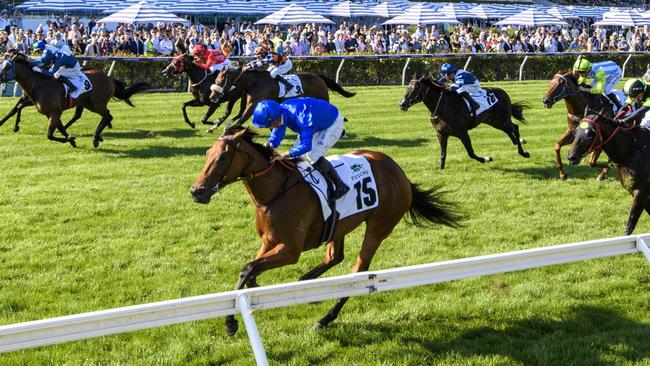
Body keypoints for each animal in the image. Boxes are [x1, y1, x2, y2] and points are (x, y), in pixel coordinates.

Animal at [0, 50, 148, 147]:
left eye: (6, 67)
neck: (39, 84)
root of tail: (110, 78)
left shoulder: (54, 112)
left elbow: (50, 135)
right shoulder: (51, 112)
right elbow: (59, 129)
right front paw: (71, 140)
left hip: (96, 104)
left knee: (106, 115)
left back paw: (96, 137)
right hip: (88, 103)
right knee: (104, 115)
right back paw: (99, 135)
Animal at [189, 125, 460, 334]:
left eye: (223, 158)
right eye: (207, 153)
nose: (197, 191)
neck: (276, 191)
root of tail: (401, 174)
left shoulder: (290, 250)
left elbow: (247, 269)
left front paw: (230, 323)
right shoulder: (268, 242)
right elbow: (249, 271)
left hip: (379, 226)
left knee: (359, 271)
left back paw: (325, 317)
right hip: (339, 225)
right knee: (334, 256)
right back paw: (309, 286)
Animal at [206, 68, 354, 129]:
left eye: (221, 81)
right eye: (216, 79)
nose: (211, 96)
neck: (253, 82)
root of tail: (318, 76)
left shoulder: (253, 104)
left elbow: (241, 119)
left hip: (322, 98)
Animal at [398, 76, 528, 171]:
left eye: (413, 90)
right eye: (406, 89)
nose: (402, 104)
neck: (443, 106)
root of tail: (503, 92)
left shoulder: (462, 133)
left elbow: (471, 153)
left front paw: (486, 159)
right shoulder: (441, 133)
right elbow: (443, 153)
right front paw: (441, 169)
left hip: (502, 120)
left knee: (515, 128)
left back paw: (523, 152)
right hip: (495, 121)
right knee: (509, 130)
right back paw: (517, 141)